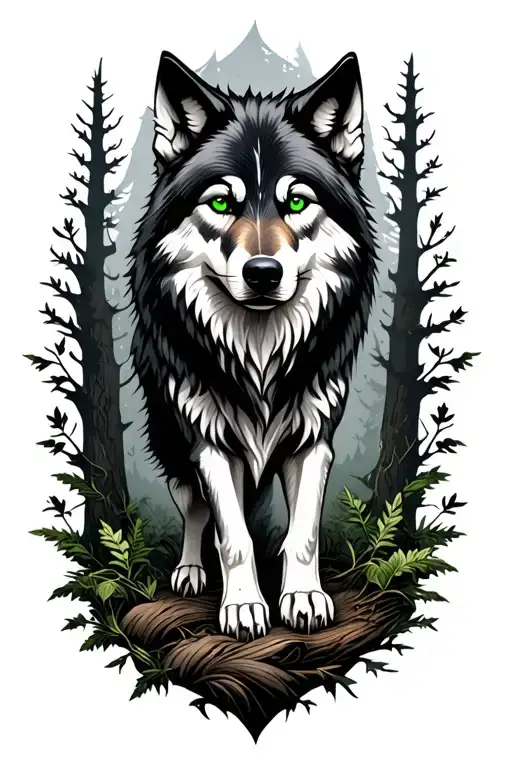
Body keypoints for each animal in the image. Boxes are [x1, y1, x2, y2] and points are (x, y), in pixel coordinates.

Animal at [129, 49, 377, 641]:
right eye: (221, 202)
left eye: (296, 202)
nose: (263, 273)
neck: (260, 353)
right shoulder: (209, 441)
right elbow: (234, 537)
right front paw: (242, 606)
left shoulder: (313, 437)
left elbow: (302, 533)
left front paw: (303, 598)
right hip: (174, 445)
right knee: (198, 513)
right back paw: (192, 572)